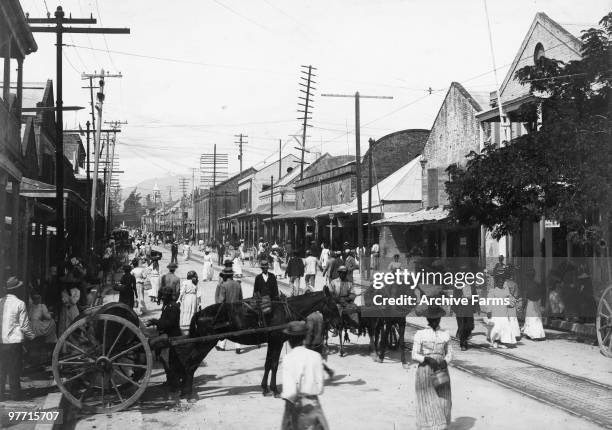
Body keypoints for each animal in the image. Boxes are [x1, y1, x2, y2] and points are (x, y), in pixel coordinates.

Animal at [178, 290, 340, 398]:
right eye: (333, 304)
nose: (338, 324)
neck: (286, 310)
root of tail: (200, 313)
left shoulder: (272, 342)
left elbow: (268, 364)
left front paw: (265, 388)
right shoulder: (277, 341)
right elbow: (274, 365)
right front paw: (274, 390)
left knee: (189, 362)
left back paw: (185, 391)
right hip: (205, 343)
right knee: (191, 363)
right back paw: (188, 394)